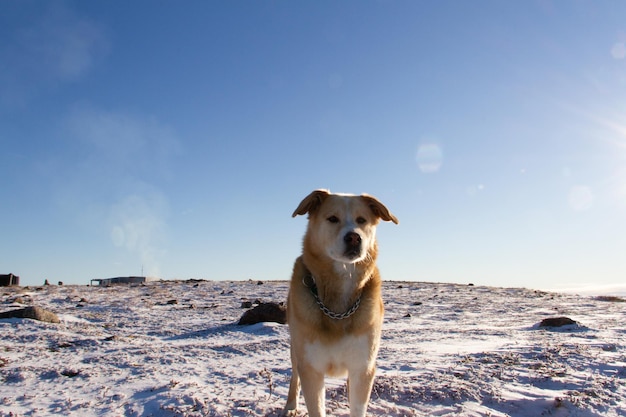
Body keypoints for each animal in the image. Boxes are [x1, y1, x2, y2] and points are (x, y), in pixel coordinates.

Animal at [282, 189, 394, 416]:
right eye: (332, 218)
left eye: (362, 220)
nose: (354, 237)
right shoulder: (311, 367)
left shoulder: (363, 366)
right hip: (296, 349)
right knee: (294, 376)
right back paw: (290, 406)